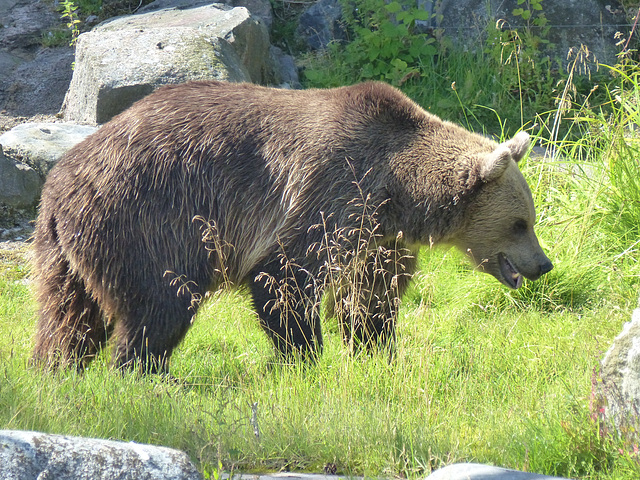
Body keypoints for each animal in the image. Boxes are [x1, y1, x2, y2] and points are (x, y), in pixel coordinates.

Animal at [31, 80, 552, 372]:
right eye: (520, 224)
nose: (544, 264)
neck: (399, 191)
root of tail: (57, 185)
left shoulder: (376, 236)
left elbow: (370, 296)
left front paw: (377, 351)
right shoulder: (330, 191)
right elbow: (284, 279)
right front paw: (305, 358)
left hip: (69, 249)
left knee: (68, 317)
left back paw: (53, 372)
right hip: (149, 221)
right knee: (160, 306)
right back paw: (143, 374)